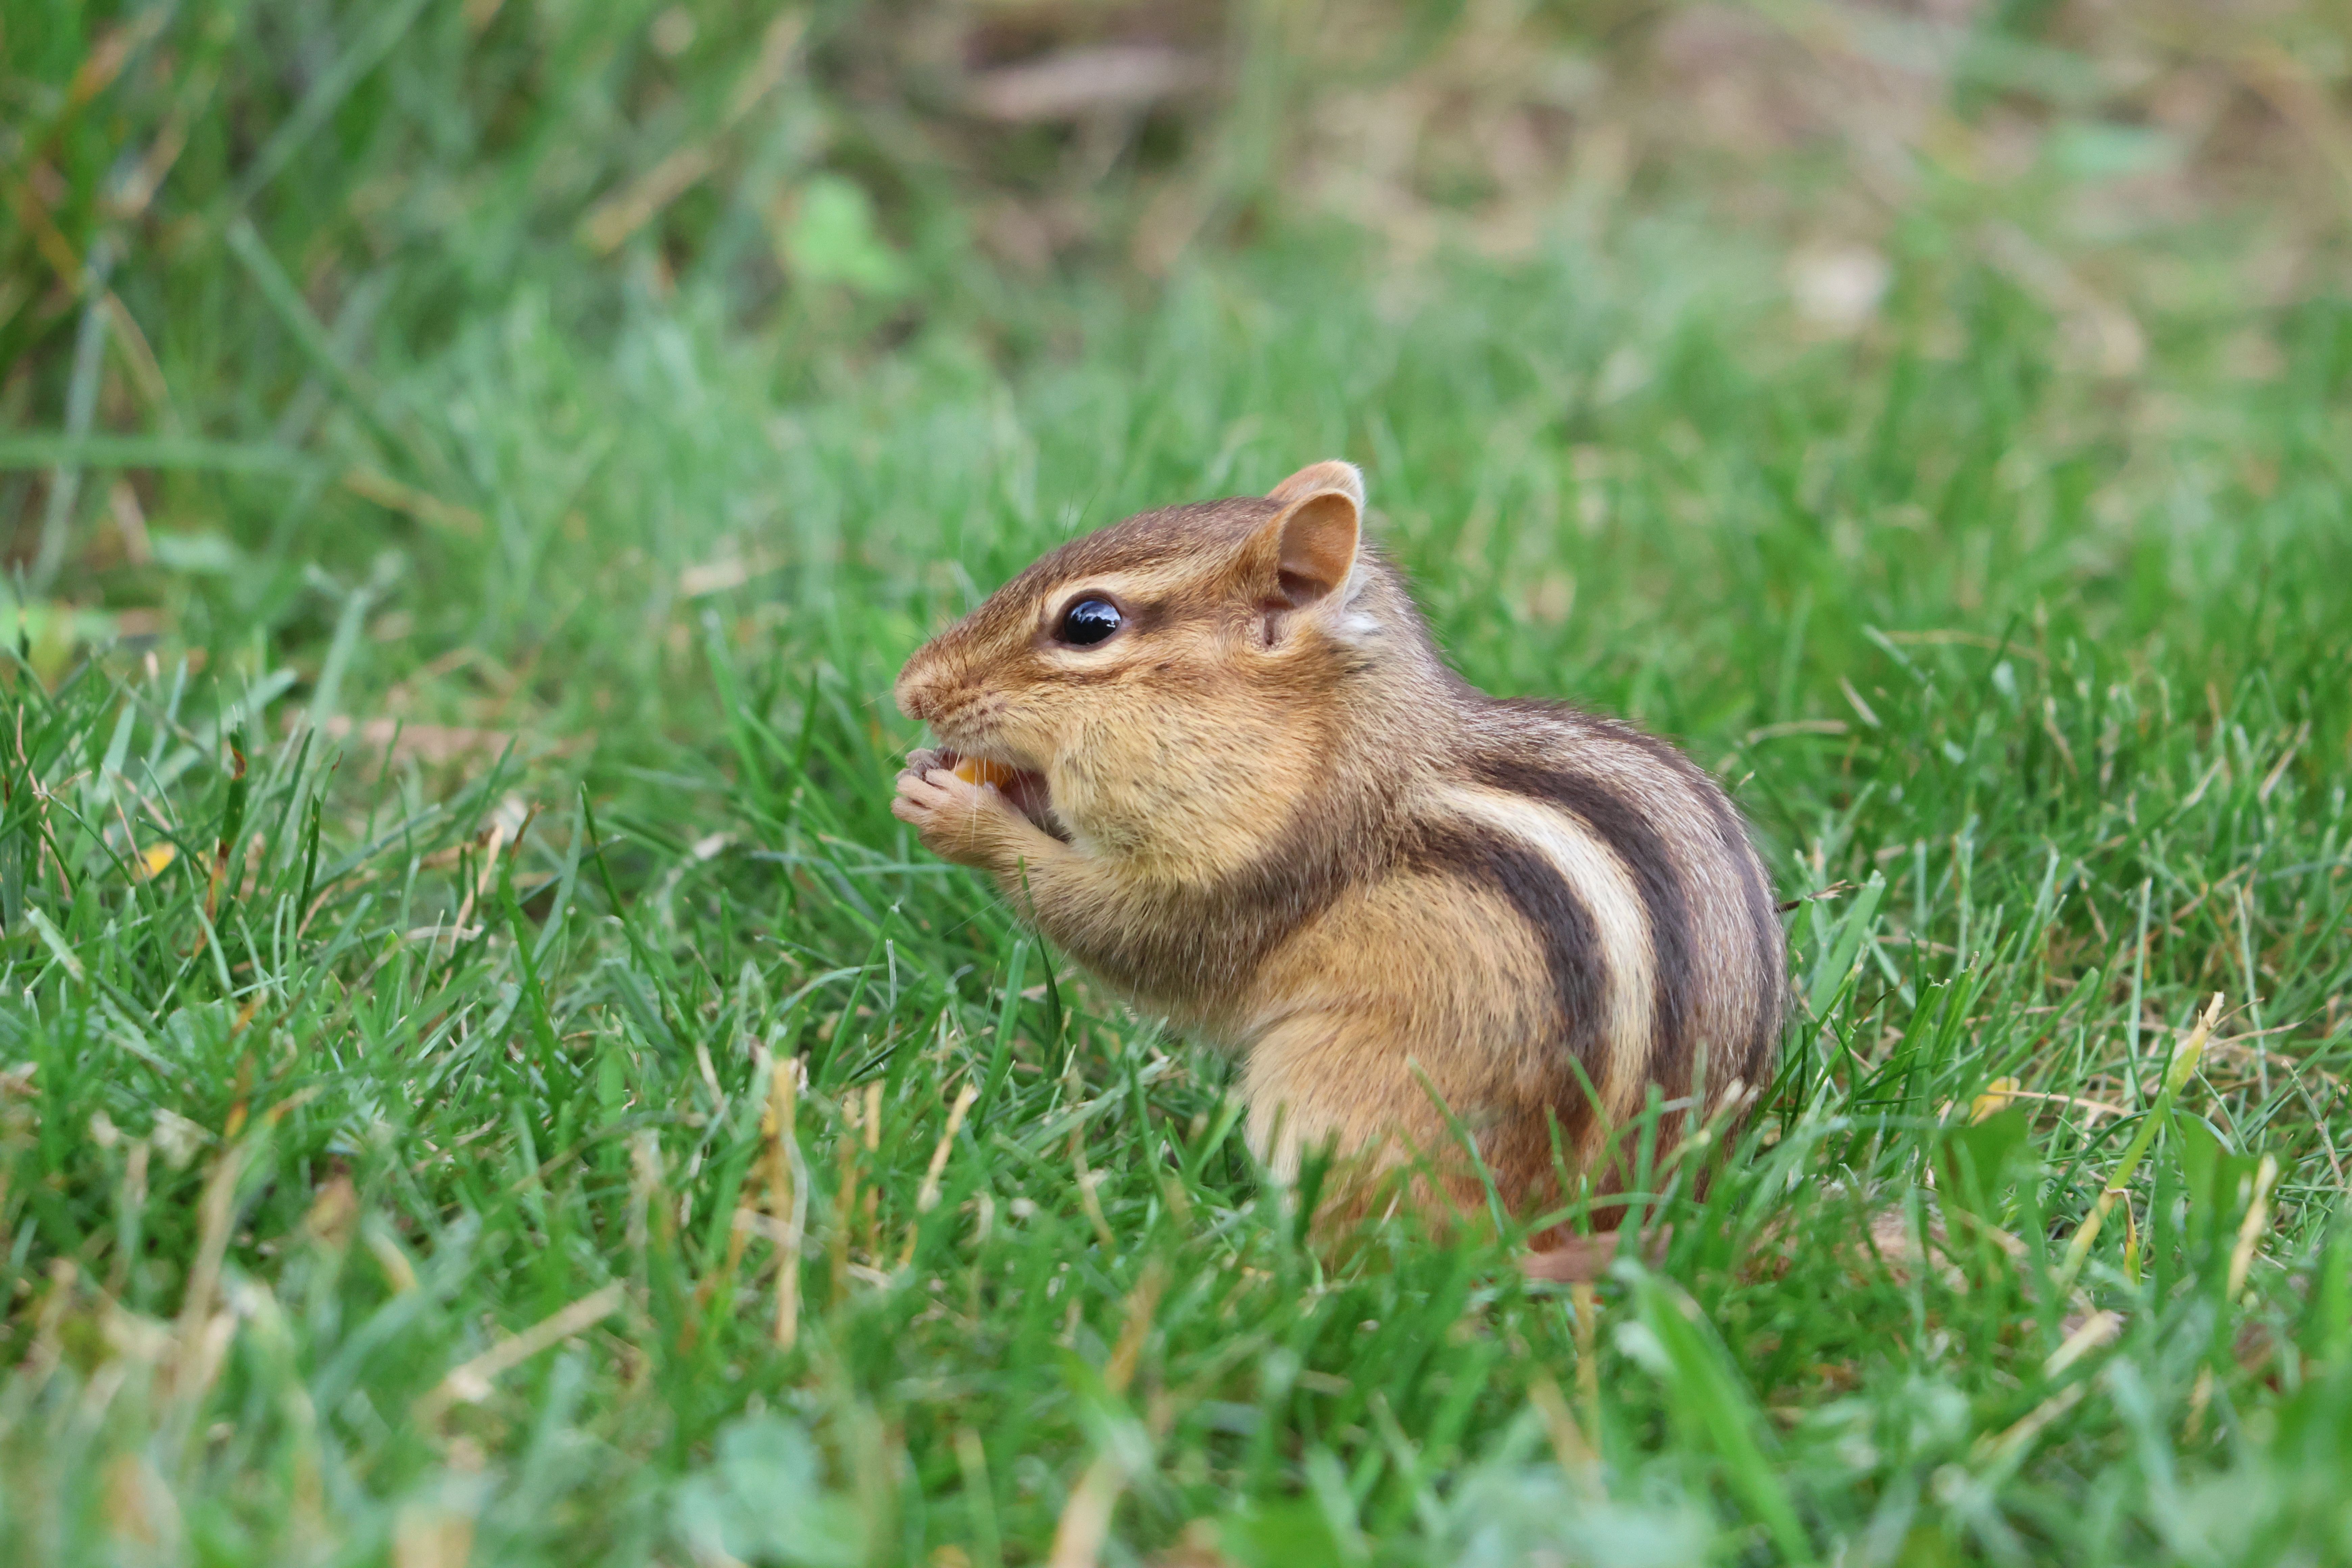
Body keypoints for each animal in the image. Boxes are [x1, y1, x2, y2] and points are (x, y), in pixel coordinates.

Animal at [892, 460, 1785, 1242]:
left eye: (1090, 622)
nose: (909, 688)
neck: (1336, 745)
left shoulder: (1252, 878)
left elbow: (1129, 933)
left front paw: (962, 816)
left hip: (1324, 1085)